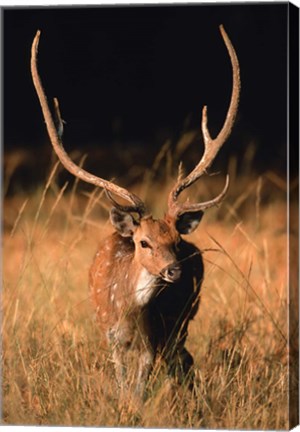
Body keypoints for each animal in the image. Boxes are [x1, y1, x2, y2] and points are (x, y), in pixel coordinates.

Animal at [31, 23, 241, 402]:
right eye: (144, 242)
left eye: (175, 241)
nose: (174, 270)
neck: (128, 314)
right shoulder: (110, 336)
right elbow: (122, 384)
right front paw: (122, 405)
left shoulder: (151, 340)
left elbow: (140, 388)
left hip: (185, 318)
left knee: (184, 360)